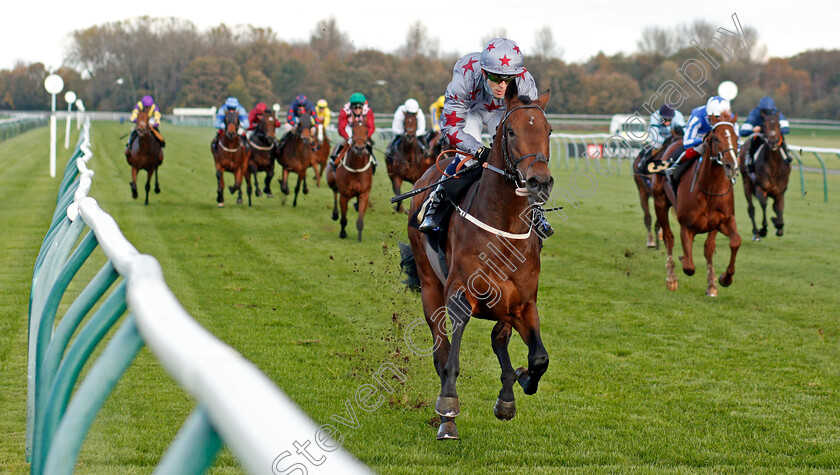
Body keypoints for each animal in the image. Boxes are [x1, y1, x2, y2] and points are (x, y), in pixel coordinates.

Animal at [406, 81, 556, 438]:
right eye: (511, 131)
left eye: (548, 130)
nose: (539, 181)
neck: (504, 226)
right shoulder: (459, 294)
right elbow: (451, 360)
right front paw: (448, 407)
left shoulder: (523, 303)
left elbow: (538, 358)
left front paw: (521, 381)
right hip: (430, 287)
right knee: (441, 350)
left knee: (498, 339)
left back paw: (507, 395)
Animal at [648, 112, 740, 298]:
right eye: (716, 138)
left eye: (736, 138)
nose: (732, 166)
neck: (710, 188)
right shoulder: (687, 226)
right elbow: (689, 267)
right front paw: (683, 261)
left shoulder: (723, 221)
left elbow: (732, 242)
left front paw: (722, 279)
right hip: (660, 202)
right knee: (668, 238)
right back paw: (671, 279)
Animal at [740, 112, 792, 242]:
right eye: (764, 125)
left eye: (778, 124)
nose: (773, 141)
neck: (773, 167)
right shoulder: (760, 188)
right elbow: (764, 205)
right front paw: (763, 229)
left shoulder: (779, 192)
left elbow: (778, 208)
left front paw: (778, 225)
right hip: (746, 183)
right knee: (751, 208)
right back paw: (756, 233)